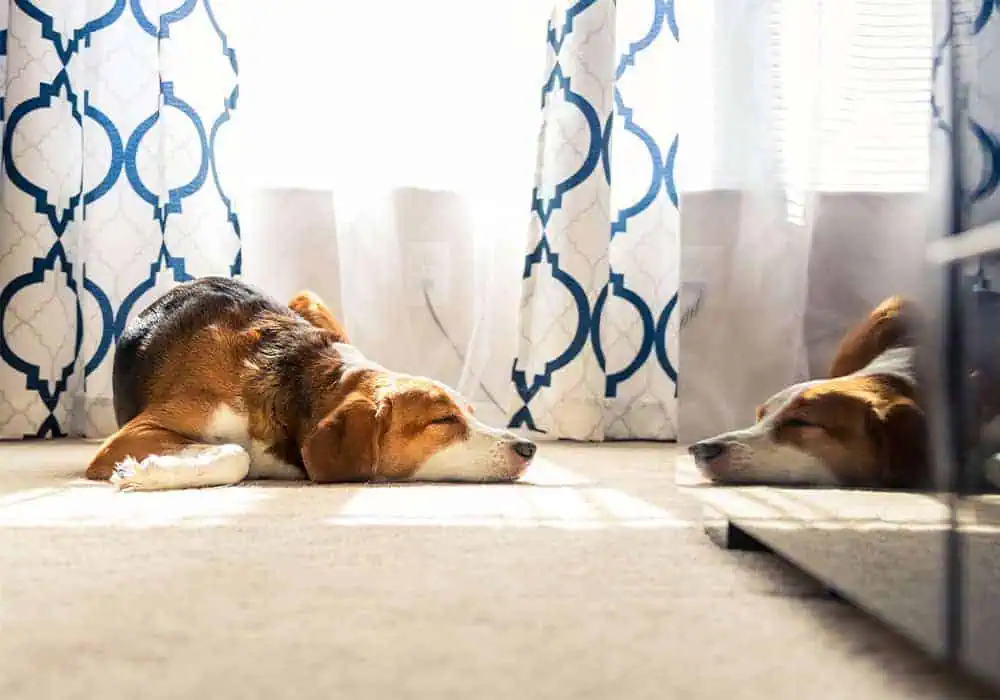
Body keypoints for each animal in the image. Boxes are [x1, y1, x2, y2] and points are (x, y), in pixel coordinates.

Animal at [89, 274, 536, 492]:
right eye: (442, 420)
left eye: (472, 411)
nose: (528, 447)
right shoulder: (128, 437)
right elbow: (237, 455)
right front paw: (146, 472)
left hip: (309, 299)